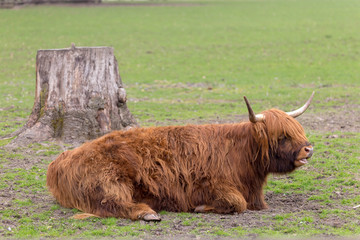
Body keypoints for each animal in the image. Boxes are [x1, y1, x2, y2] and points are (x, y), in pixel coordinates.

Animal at [47, 92, 316, 221]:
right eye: (282, 136)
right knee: (112, 204)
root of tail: (62, 159)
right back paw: (147, 213)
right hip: (109, 180)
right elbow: (236, 202)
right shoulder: (208, 185)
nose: (308, 149)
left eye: (297, 130)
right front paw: (201, 208)